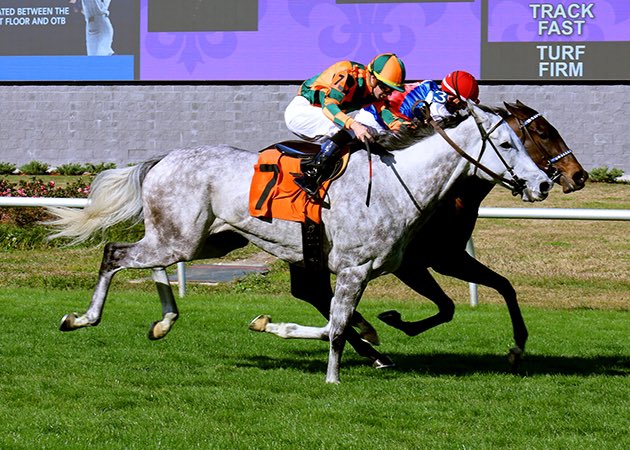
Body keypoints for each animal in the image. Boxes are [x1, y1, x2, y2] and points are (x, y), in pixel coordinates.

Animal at [49, 103, 552, 384]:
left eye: (524, 139)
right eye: (509, 143)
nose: (544, 184)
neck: (399, 183)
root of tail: (164, 158)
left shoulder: (388, 267)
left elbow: (336, 324)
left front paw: (278, 327)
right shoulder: (354, 268)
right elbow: (337, 326)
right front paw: (330, 376)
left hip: (200, 240)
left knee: (145, 258)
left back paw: (164, 321)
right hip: (182, 239)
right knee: (115, 253)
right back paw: (82, 318)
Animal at [254, 100, 592, 370]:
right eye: (544, 133)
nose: (579, 176)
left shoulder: (449, 256)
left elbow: (503, 286)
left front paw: (517, 347)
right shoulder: (420, 263)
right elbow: (448, 306)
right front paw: (394, 320)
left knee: (312, 293)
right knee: (317, 294)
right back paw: (369, 342)